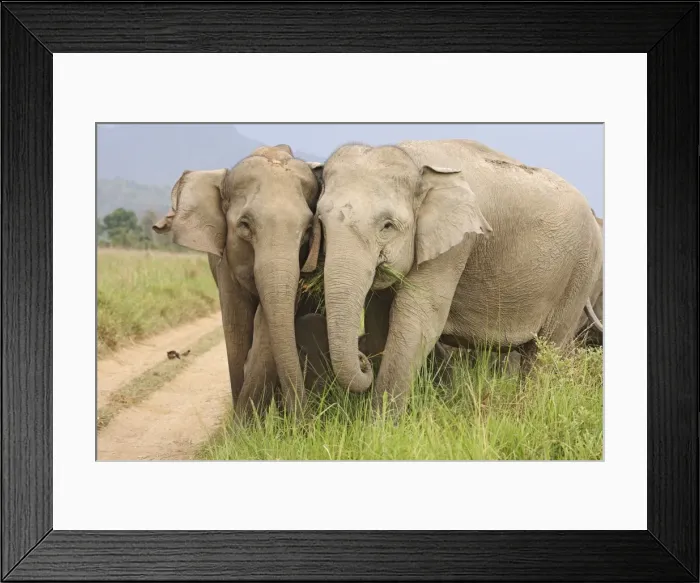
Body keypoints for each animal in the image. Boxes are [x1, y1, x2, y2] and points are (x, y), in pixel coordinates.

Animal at [153, 144, 325, 419]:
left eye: (309, 230)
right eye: (245, 225)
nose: (305, 421)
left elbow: (266, 325)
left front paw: (247, 422)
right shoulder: (224, 265)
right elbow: (237, 324)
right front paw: (244, 424)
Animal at [305, 139, 604, 413]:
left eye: (387, 226)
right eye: (320, 222)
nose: (361, 358)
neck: (413, 159)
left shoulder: (456, 244)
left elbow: (417, 317)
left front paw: (381, 426)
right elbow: (380, 319)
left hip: (580, 272)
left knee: (545, 349)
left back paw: (528, 411)